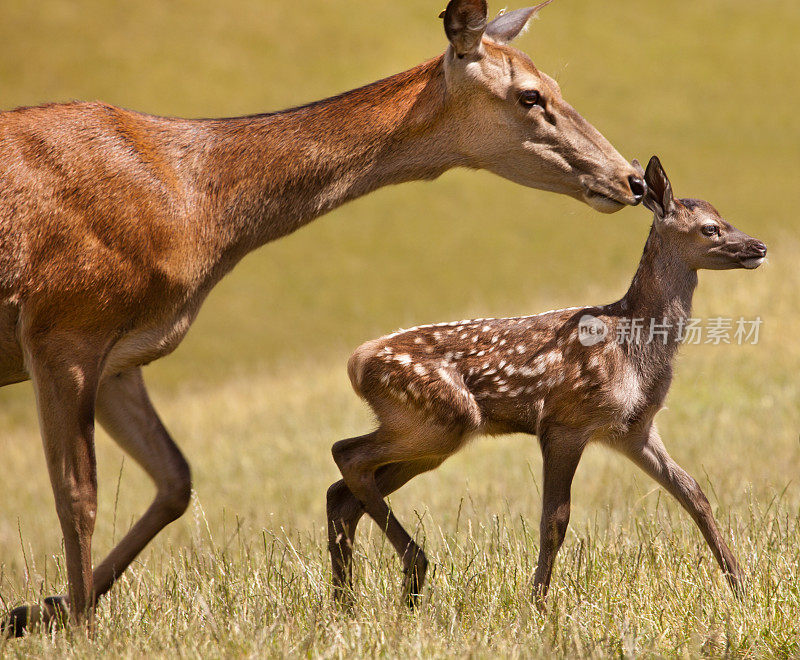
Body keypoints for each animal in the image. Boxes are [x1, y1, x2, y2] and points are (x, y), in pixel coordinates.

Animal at [0, 0, 640, 632]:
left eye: (556, 83)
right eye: (530, 95)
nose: (631, 178)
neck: (197, 210)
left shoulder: (124, 353)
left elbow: (174, 479)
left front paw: (42, 609)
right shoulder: (64, 323)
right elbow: (77, 494)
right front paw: (79, 627)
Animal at [328, 156, 764, 608]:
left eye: (724, 217)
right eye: (710, 228)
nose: (759, 248)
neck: (632, 345)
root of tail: (357, 361)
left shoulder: (634, 429)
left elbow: (694, 494)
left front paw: (742, 586)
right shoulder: (564, 421)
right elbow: (555, 519)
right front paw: (537, 604)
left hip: (429, 437)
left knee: (341, 493)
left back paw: (348, 602)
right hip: (439, 420)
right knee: (346, 454)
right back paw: (410, 571)